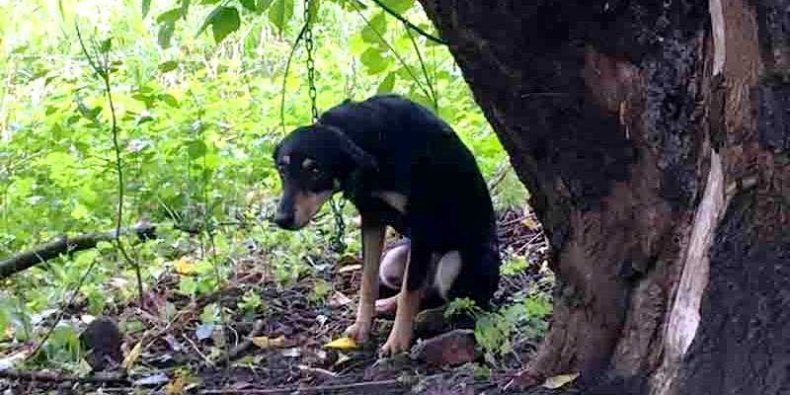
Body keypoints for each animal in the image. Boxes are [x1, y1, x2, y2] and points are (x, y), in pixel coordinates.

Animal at [274, 95, 502, 356]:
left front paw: (397, 341)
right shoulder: (371, 217)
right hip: (394, 260)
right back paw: (387, 305)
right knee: (422, 288)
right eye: (282, 169)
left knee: (465, 302)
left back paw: (431, 317)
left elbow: (409, 292)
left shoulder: (423, 225)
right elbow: (369, 280)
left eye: (315, 170)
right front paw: (362, 326)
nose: (281, 219)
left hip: (454, 263)